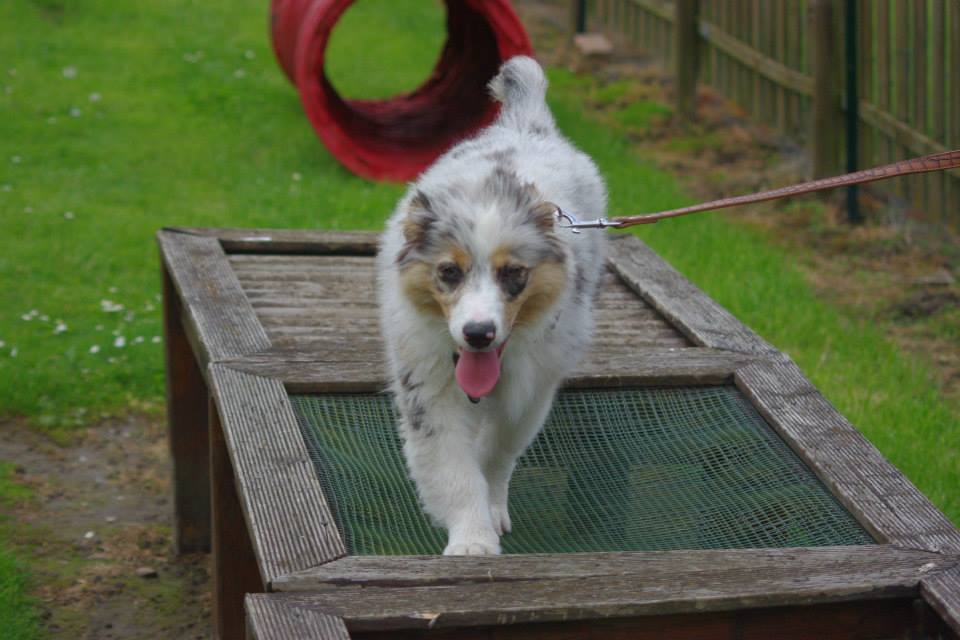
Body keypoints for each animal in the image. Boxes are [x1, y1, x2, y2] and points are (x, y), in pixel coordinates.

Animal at [376, 56, 608, 556]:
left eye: (513, 274)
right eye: (449, 272)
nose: (478, 334)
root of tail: (527, 123)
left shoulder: (530, 392)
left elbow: (497, 453)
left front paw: (491, 510)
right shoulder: (429, 389)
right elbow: (455, 471)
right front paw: (472, 541)